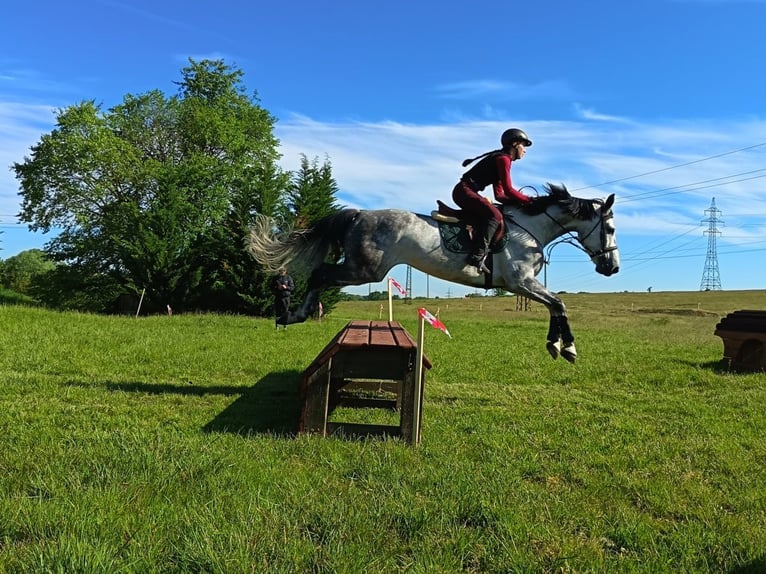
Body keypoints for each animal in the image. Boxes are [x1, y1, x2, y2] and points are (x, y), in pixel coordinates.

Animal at [246, 183, 620, 363]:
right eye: (611, 228)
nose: (612, 267)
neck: (531, 227)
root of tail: (359, 214)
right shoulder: (521, 283)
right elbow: (559, 304)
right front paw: (566, 348)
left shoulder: (525, 286)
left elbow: (556, 306)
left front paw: (556, 346)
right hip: (366, 269)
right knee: (321, 274)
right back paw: (294, 314)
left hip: (364, 269)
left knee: (321, 274)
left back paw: (291, 315)